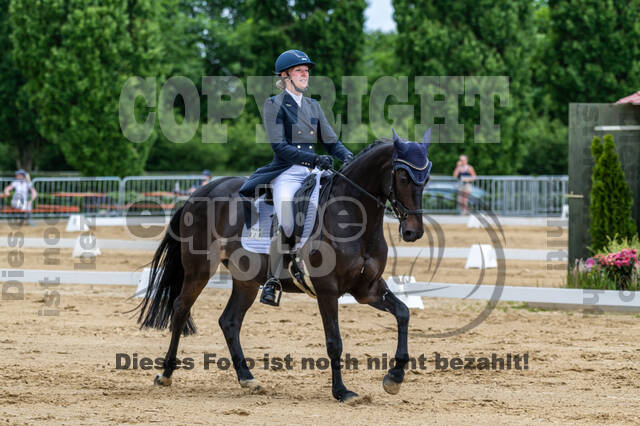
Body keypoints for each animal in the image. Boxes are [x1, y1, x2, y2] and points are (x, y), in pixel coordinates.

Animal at [137, 129, 432, 402]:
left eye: (426, 179)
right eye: (403, 177)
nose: (413, 232)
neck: (355, 219)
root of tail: (199, 193)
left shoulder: (367, 289)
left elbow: (403, 313)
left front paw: (394, 377)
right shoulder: (327, 290)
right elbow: (334, 341)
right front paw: (341, 391)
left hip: (246, 280)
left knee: (229, 321)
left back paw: (248, 379)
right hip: (199, 268)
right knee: (180, 309)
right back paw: (166, 374)